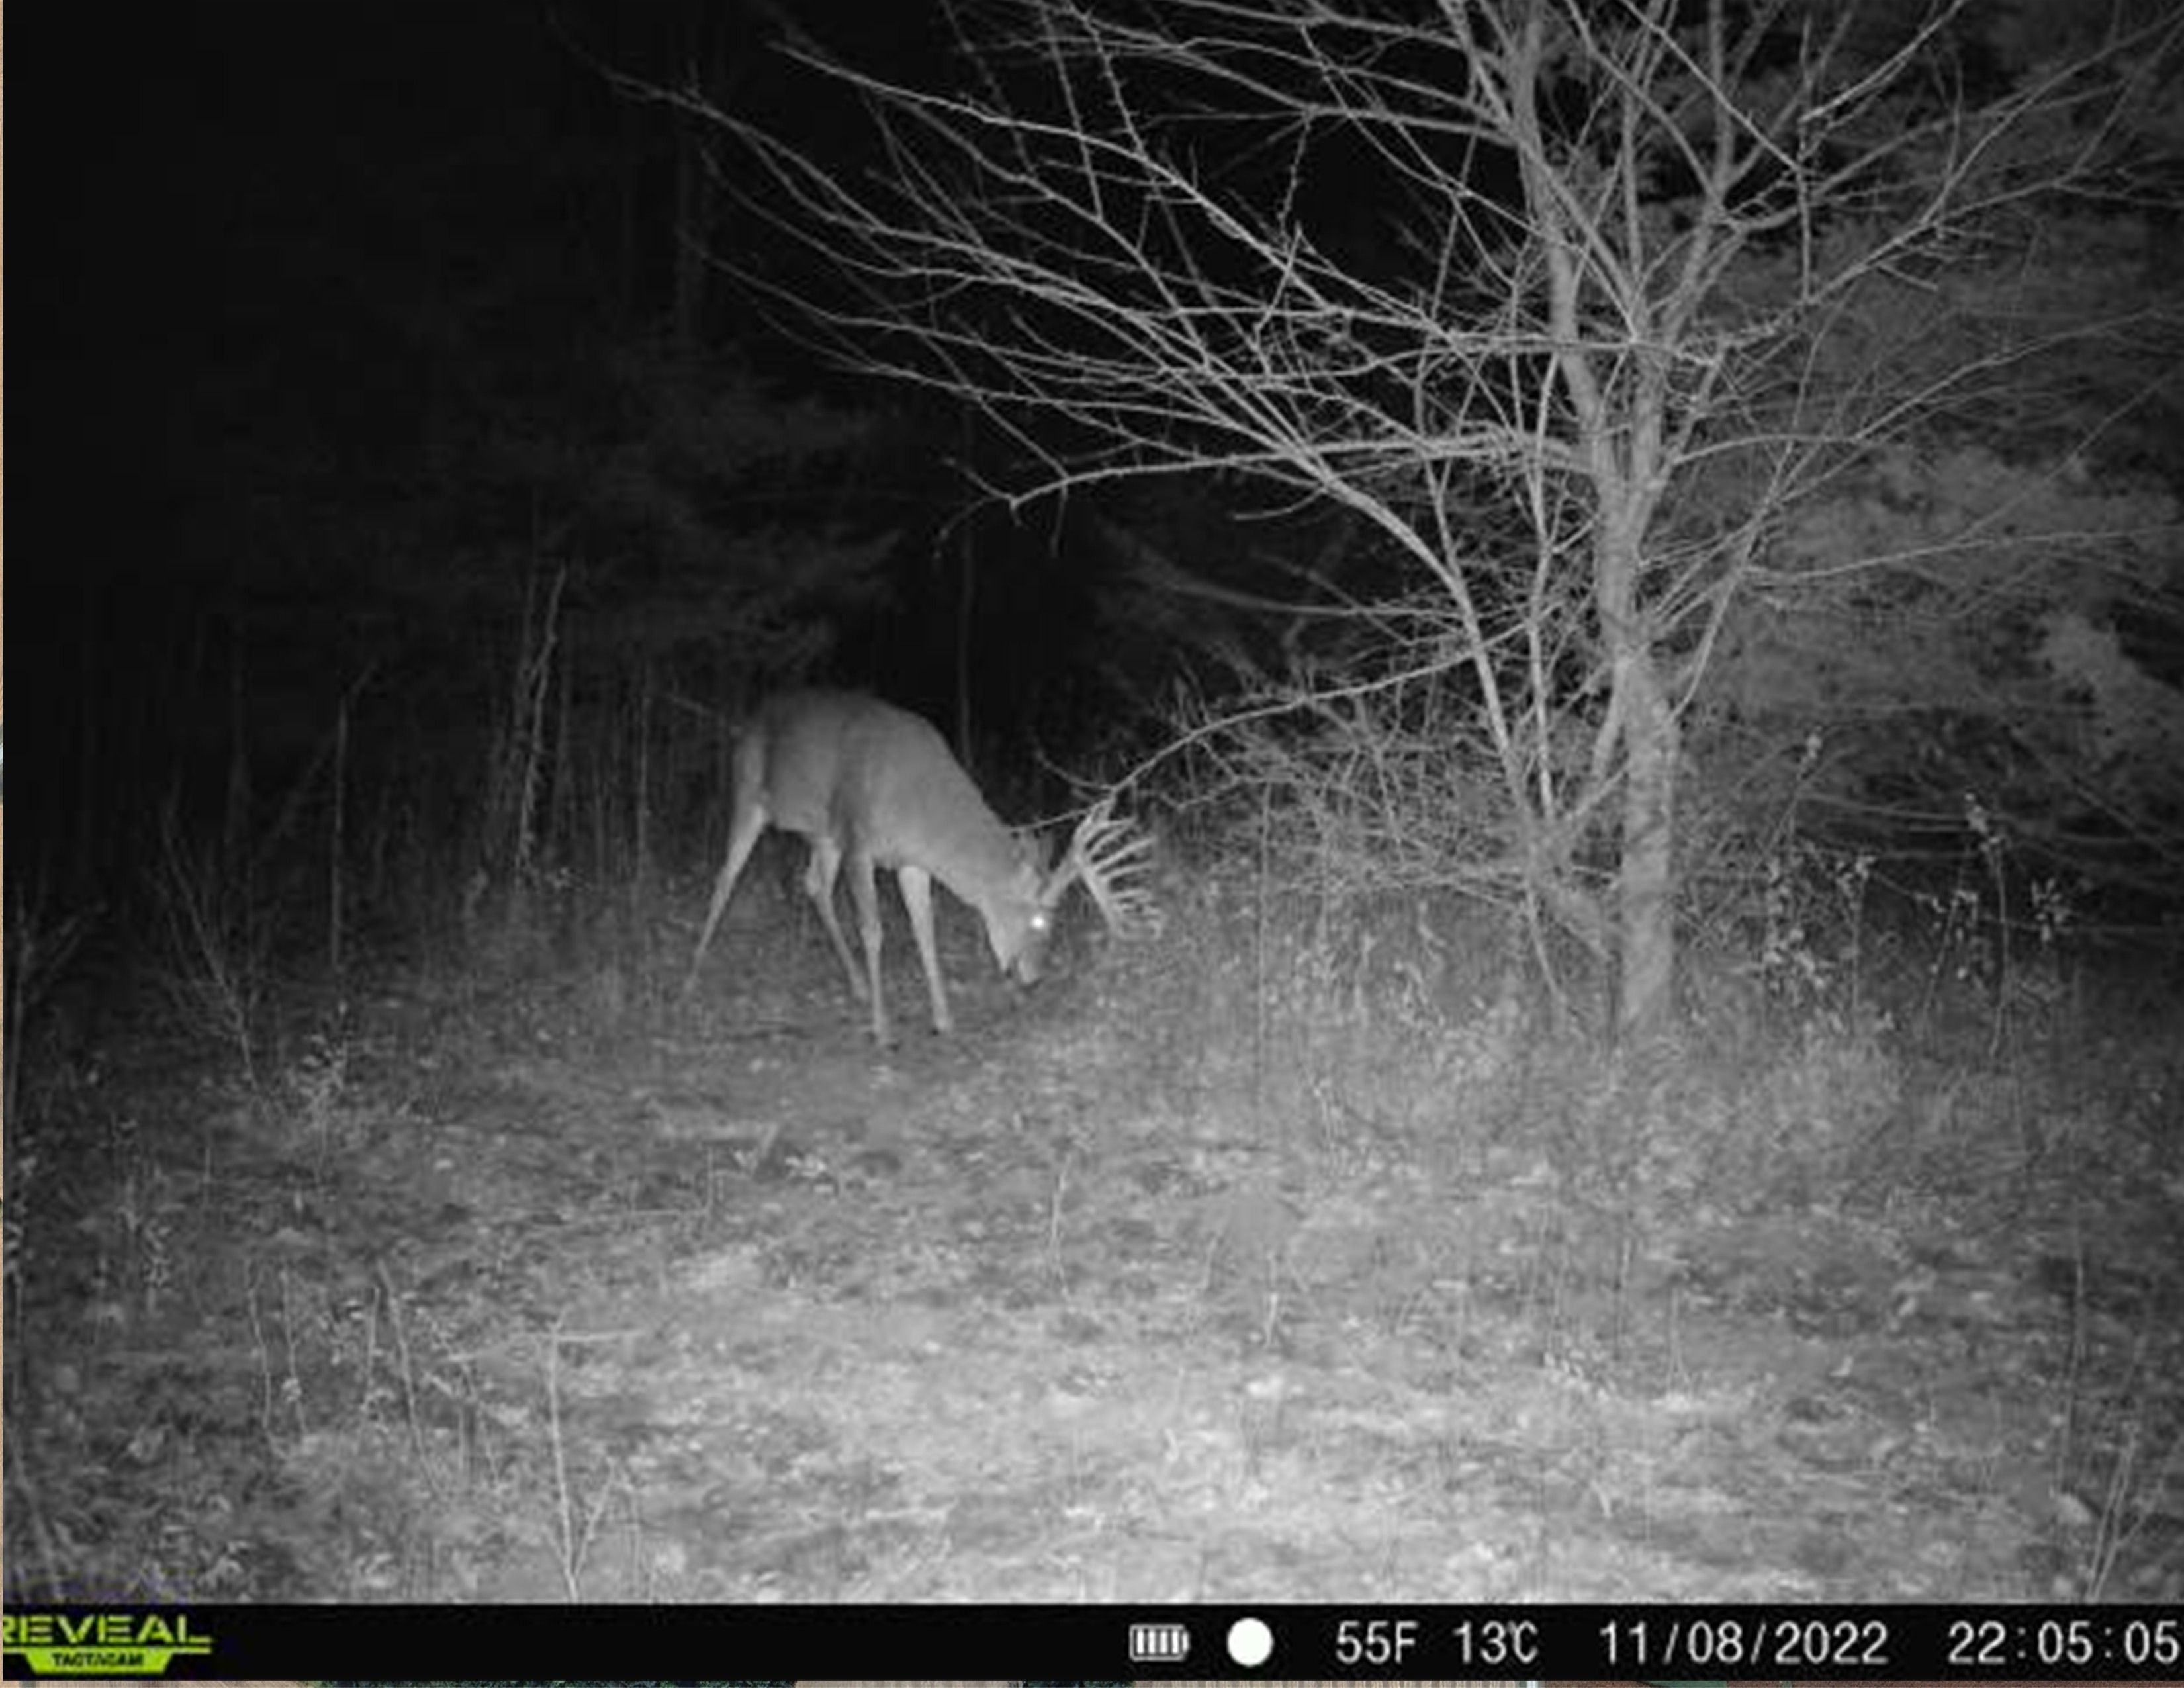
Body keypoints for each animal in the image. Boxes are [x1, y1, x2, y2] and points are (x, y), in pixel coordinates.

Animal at [682, 689, 1154, 1045]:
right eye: (1040, 921)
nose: (1035, 977)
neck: (919, 807)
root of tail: (748, 722)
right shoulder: (860, 841)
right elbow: (874, 931)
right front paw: (883, 1030)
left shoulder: (911, 861)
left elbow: (925, 930)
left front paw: (944, 1019)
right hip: (750, 794)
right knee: (726, 878)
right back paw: (693, 974)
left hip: (824, 834)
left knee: (814, 884)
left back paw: (857, 986)